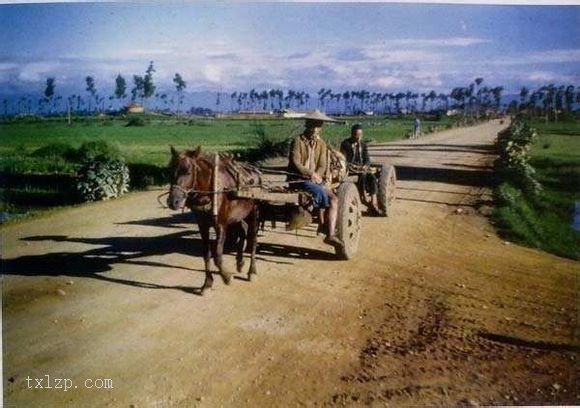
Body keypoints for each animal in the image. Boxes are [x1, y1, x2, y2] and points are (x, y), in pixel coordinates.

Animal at [167, 147, 260, 294]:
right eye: (170, 171)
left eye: (188, 171)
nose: (172, 201)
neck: (211, 193)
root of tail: (255, 170)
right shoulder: (203, 226)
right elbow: (206, 254)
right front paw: (207, 284)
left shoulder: (220, 225)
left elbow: (217, 256)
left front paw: (227, 277)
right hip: (236, 216)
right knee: (242, 232)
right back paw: (240, 262)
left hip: (253, 212)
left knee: (253, 237)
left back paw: (252, 271)